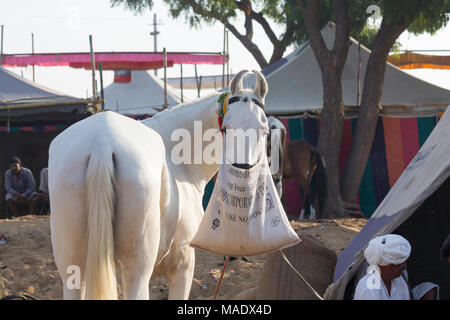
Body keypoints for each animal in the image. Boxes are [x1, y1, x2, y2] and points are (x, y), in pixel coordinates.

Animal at [48, 70, 268, 300]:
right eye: (226, 127)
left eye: (264, 129)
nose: (244, 173)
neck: (178, 157)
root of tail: (102, 143)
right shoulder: (183, 265)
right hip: (137, 272)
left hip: (73, 270)